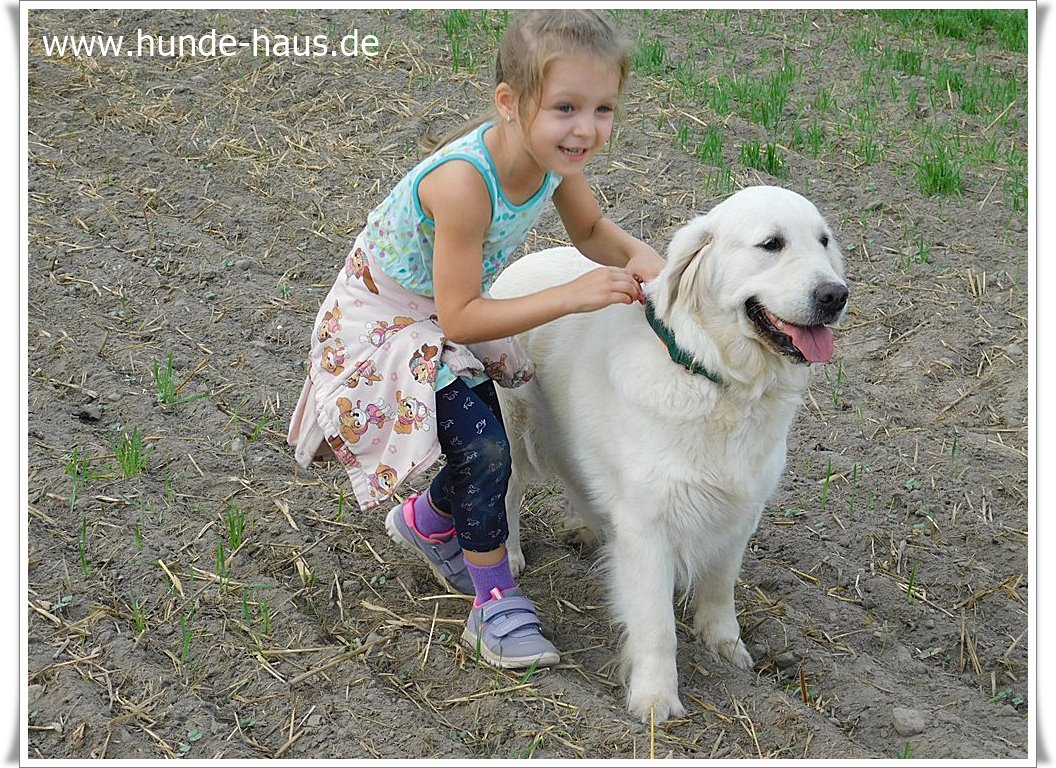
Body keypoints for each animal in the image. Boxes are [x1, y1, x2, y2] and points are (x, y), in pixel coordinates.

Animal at [490, 185, 848, 723]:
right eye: (771, 244)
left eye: (823, 241)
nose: (835, 295)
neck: (717, 379)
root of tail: (520, 264)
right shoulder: (648, 524)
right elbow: (655, 624)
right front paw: (656, 698)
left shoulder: (740, 510)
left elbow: (720, 586)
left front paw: (726, 647)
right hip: (510, 427)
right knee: (506, 494)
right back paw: (510, 553)